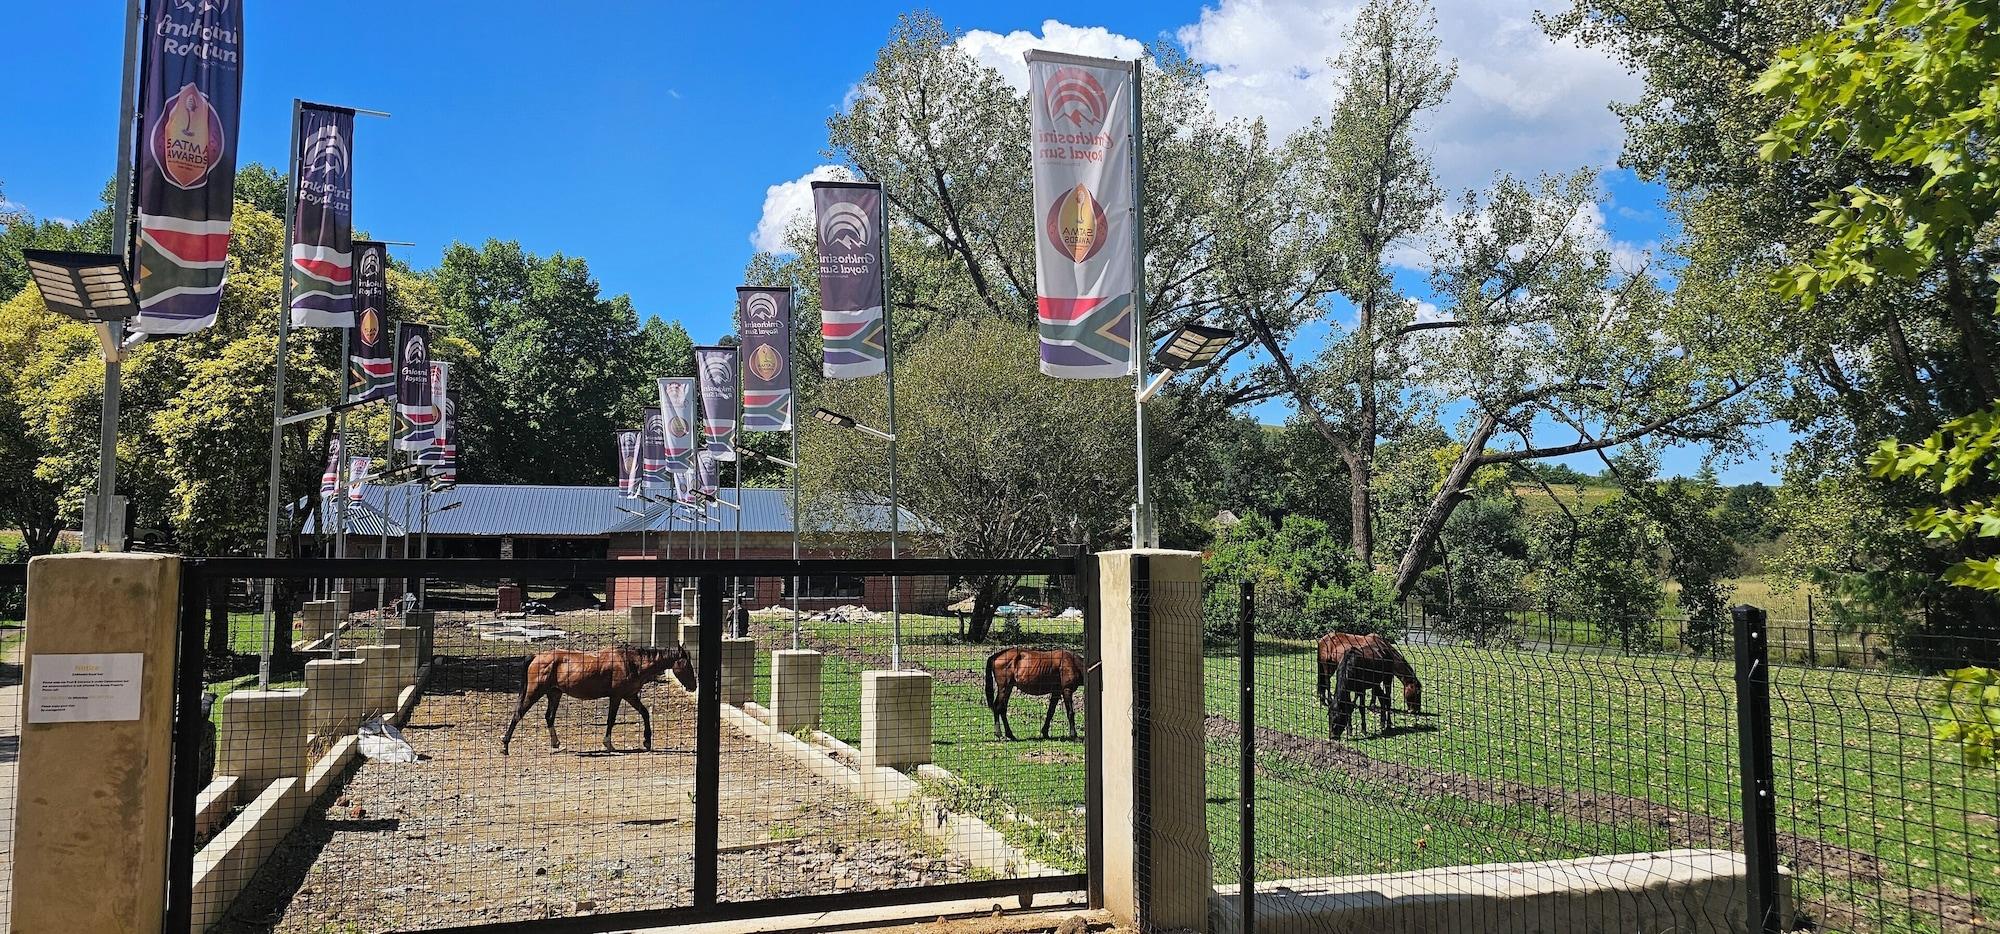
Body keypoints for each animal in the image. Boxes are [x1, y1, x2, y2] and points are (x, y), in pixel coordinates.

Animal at [501, 644, 695, 754]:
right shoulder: (617, 696)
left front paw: (647, 742)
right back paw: (505, 746)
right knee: (518, 714)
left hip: (554, 693)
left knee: (549, 717)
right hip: (535, 691)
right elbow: (611, 720)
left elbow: (645, 713)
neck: (630, 663)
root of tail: (537, 656)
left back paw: (556, 744)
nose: (694, 686)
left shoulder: (630, 695)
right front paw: (608, 744)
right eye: (687, 665)